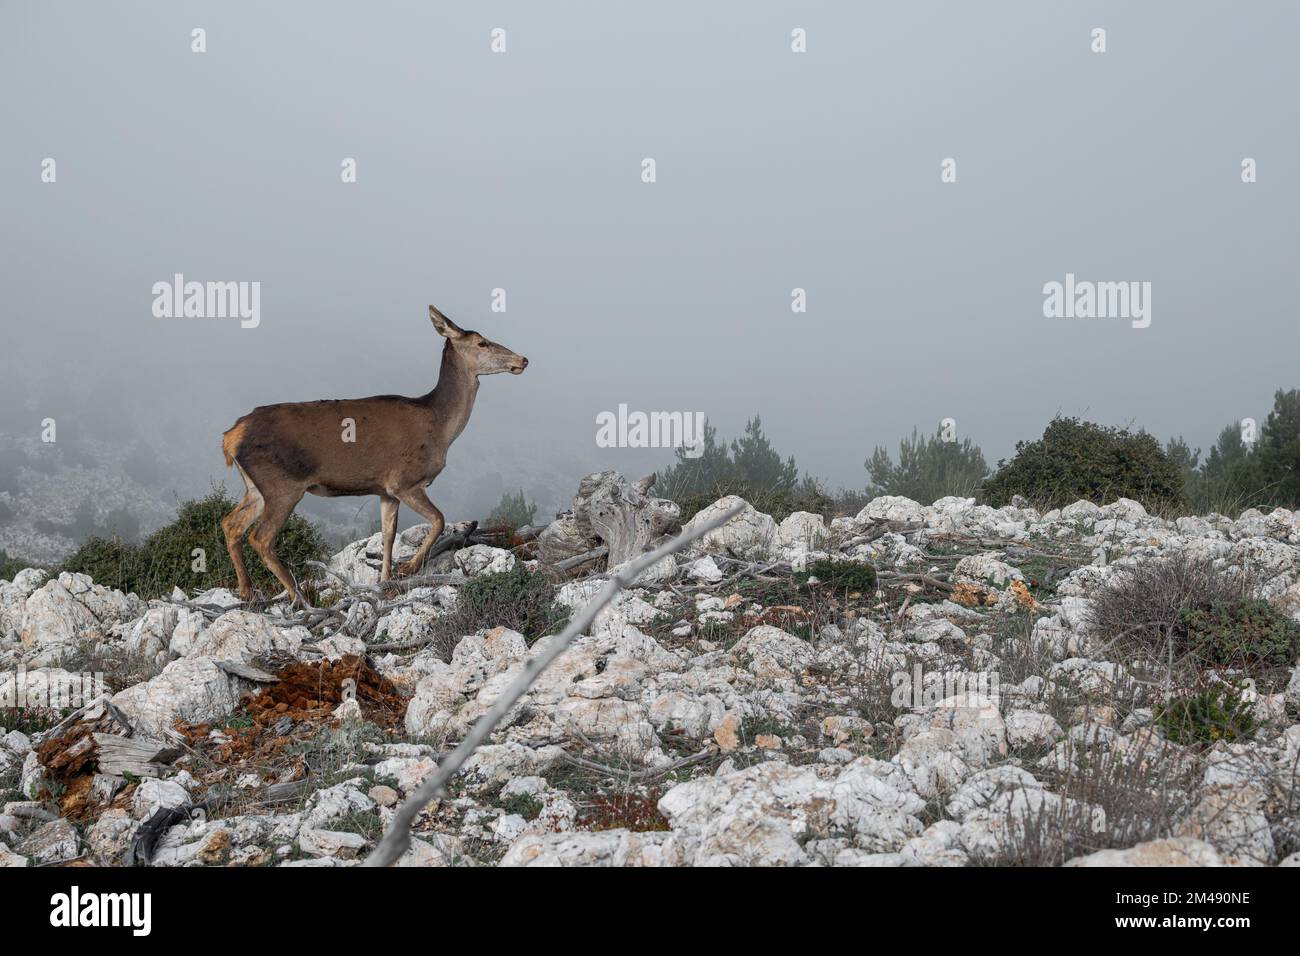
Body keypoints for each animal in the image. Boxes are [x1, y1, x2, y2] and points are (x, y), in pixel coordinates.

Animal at [220, 305, 528, 606]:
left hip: (255, 488)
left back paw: (246, 592)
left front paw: (385, 579)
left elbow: (388, 535)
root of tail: (231, 436)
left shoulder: (385, 490)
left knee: (231, 524)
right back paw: (298, 597)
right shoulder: (404, 481)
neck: (441, 428)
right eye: (482, 342)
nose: (523, 359)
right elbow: (439, 519)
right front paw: (408, 568)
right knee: (261, 538)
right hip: (283, 485)